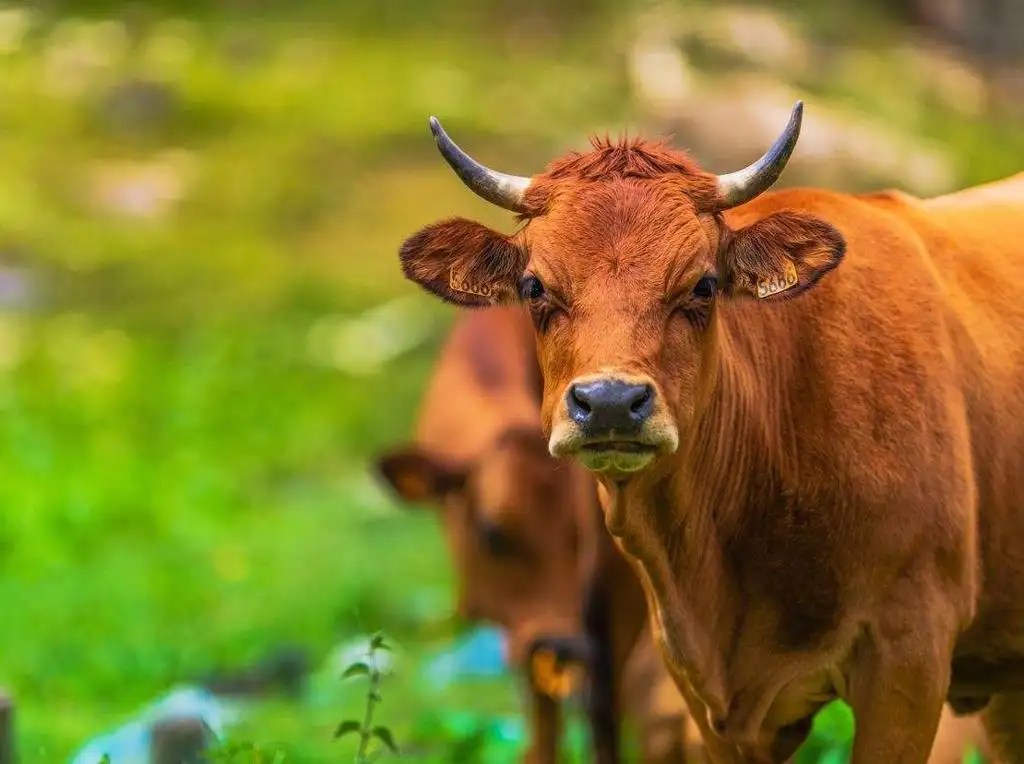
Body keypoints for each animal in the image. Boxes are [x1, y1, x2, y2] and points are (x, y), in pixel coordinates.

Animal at [374, 306, 690, 763]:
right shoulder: (521, 624)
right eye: (491, 534)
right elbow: (543, 717)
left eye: (586, 532)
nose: (560, 645)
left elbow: (604, 707)